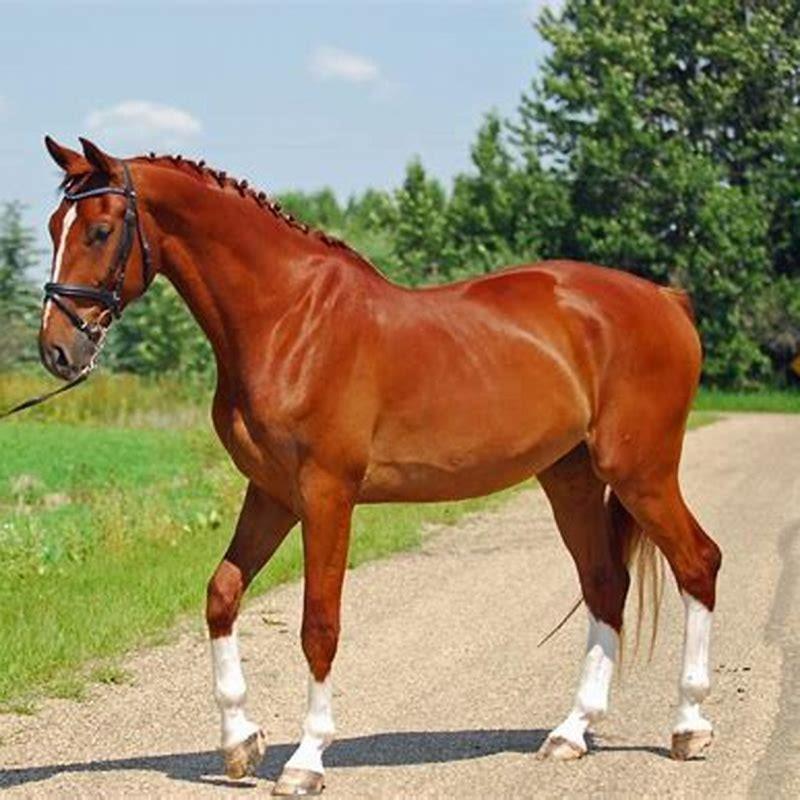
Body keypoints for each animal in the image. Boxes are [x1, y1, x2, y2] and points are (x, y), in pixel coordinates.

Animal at [39, 136, 721, 795]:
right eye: (52, 228)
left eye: (100, 230)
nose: (57, 350)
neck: (289, 320)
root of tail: (666, 299)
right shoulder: (271, 493)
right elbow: (222, 595)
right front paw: (239, 741)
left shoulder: (326, 495)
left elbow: (319, 625)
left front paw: (306, 761)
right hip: (571, 476)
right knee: (605, 584)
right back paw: (571, 732)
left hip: (640, 471)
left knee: (697, 564)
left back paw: (689, 726)